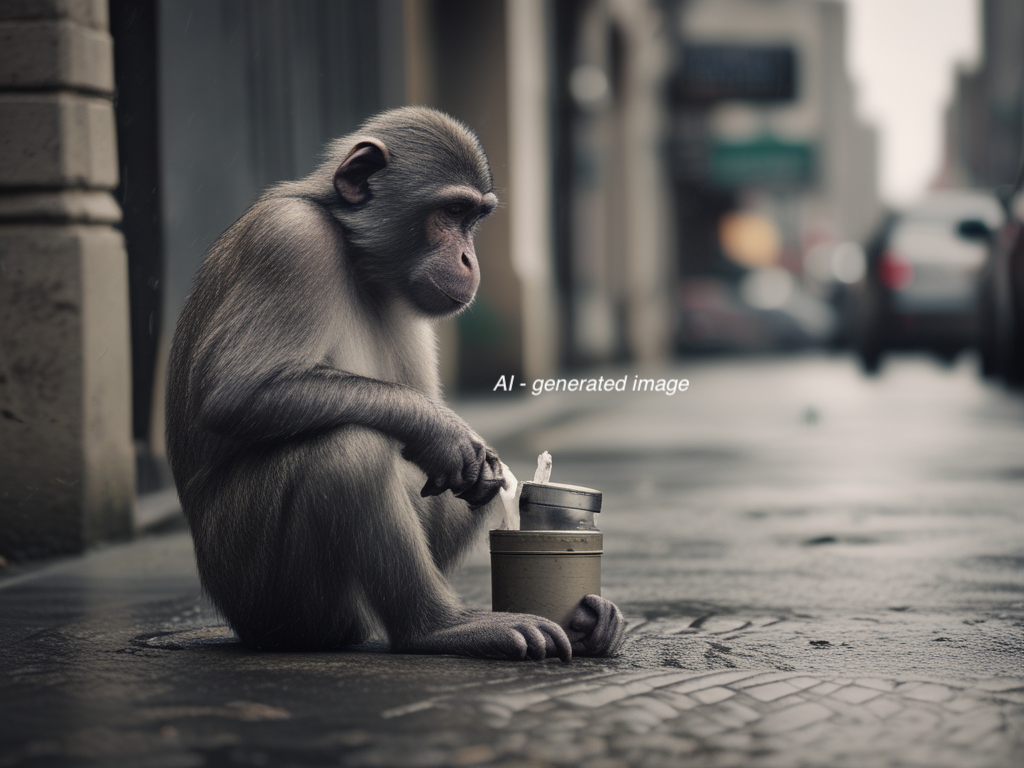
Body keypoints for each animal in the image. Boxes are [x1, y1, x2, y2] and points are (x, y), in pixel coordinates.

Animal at [166, 106, 625, 660]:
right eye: (452, 212)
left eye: (473, 219)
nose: (470, 260)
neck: (351, 250)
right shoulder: (290, 240)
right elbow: (236, 392)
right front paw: (441, 430)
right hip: (263, 591)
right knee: (348, 449)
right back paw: (437, 627)